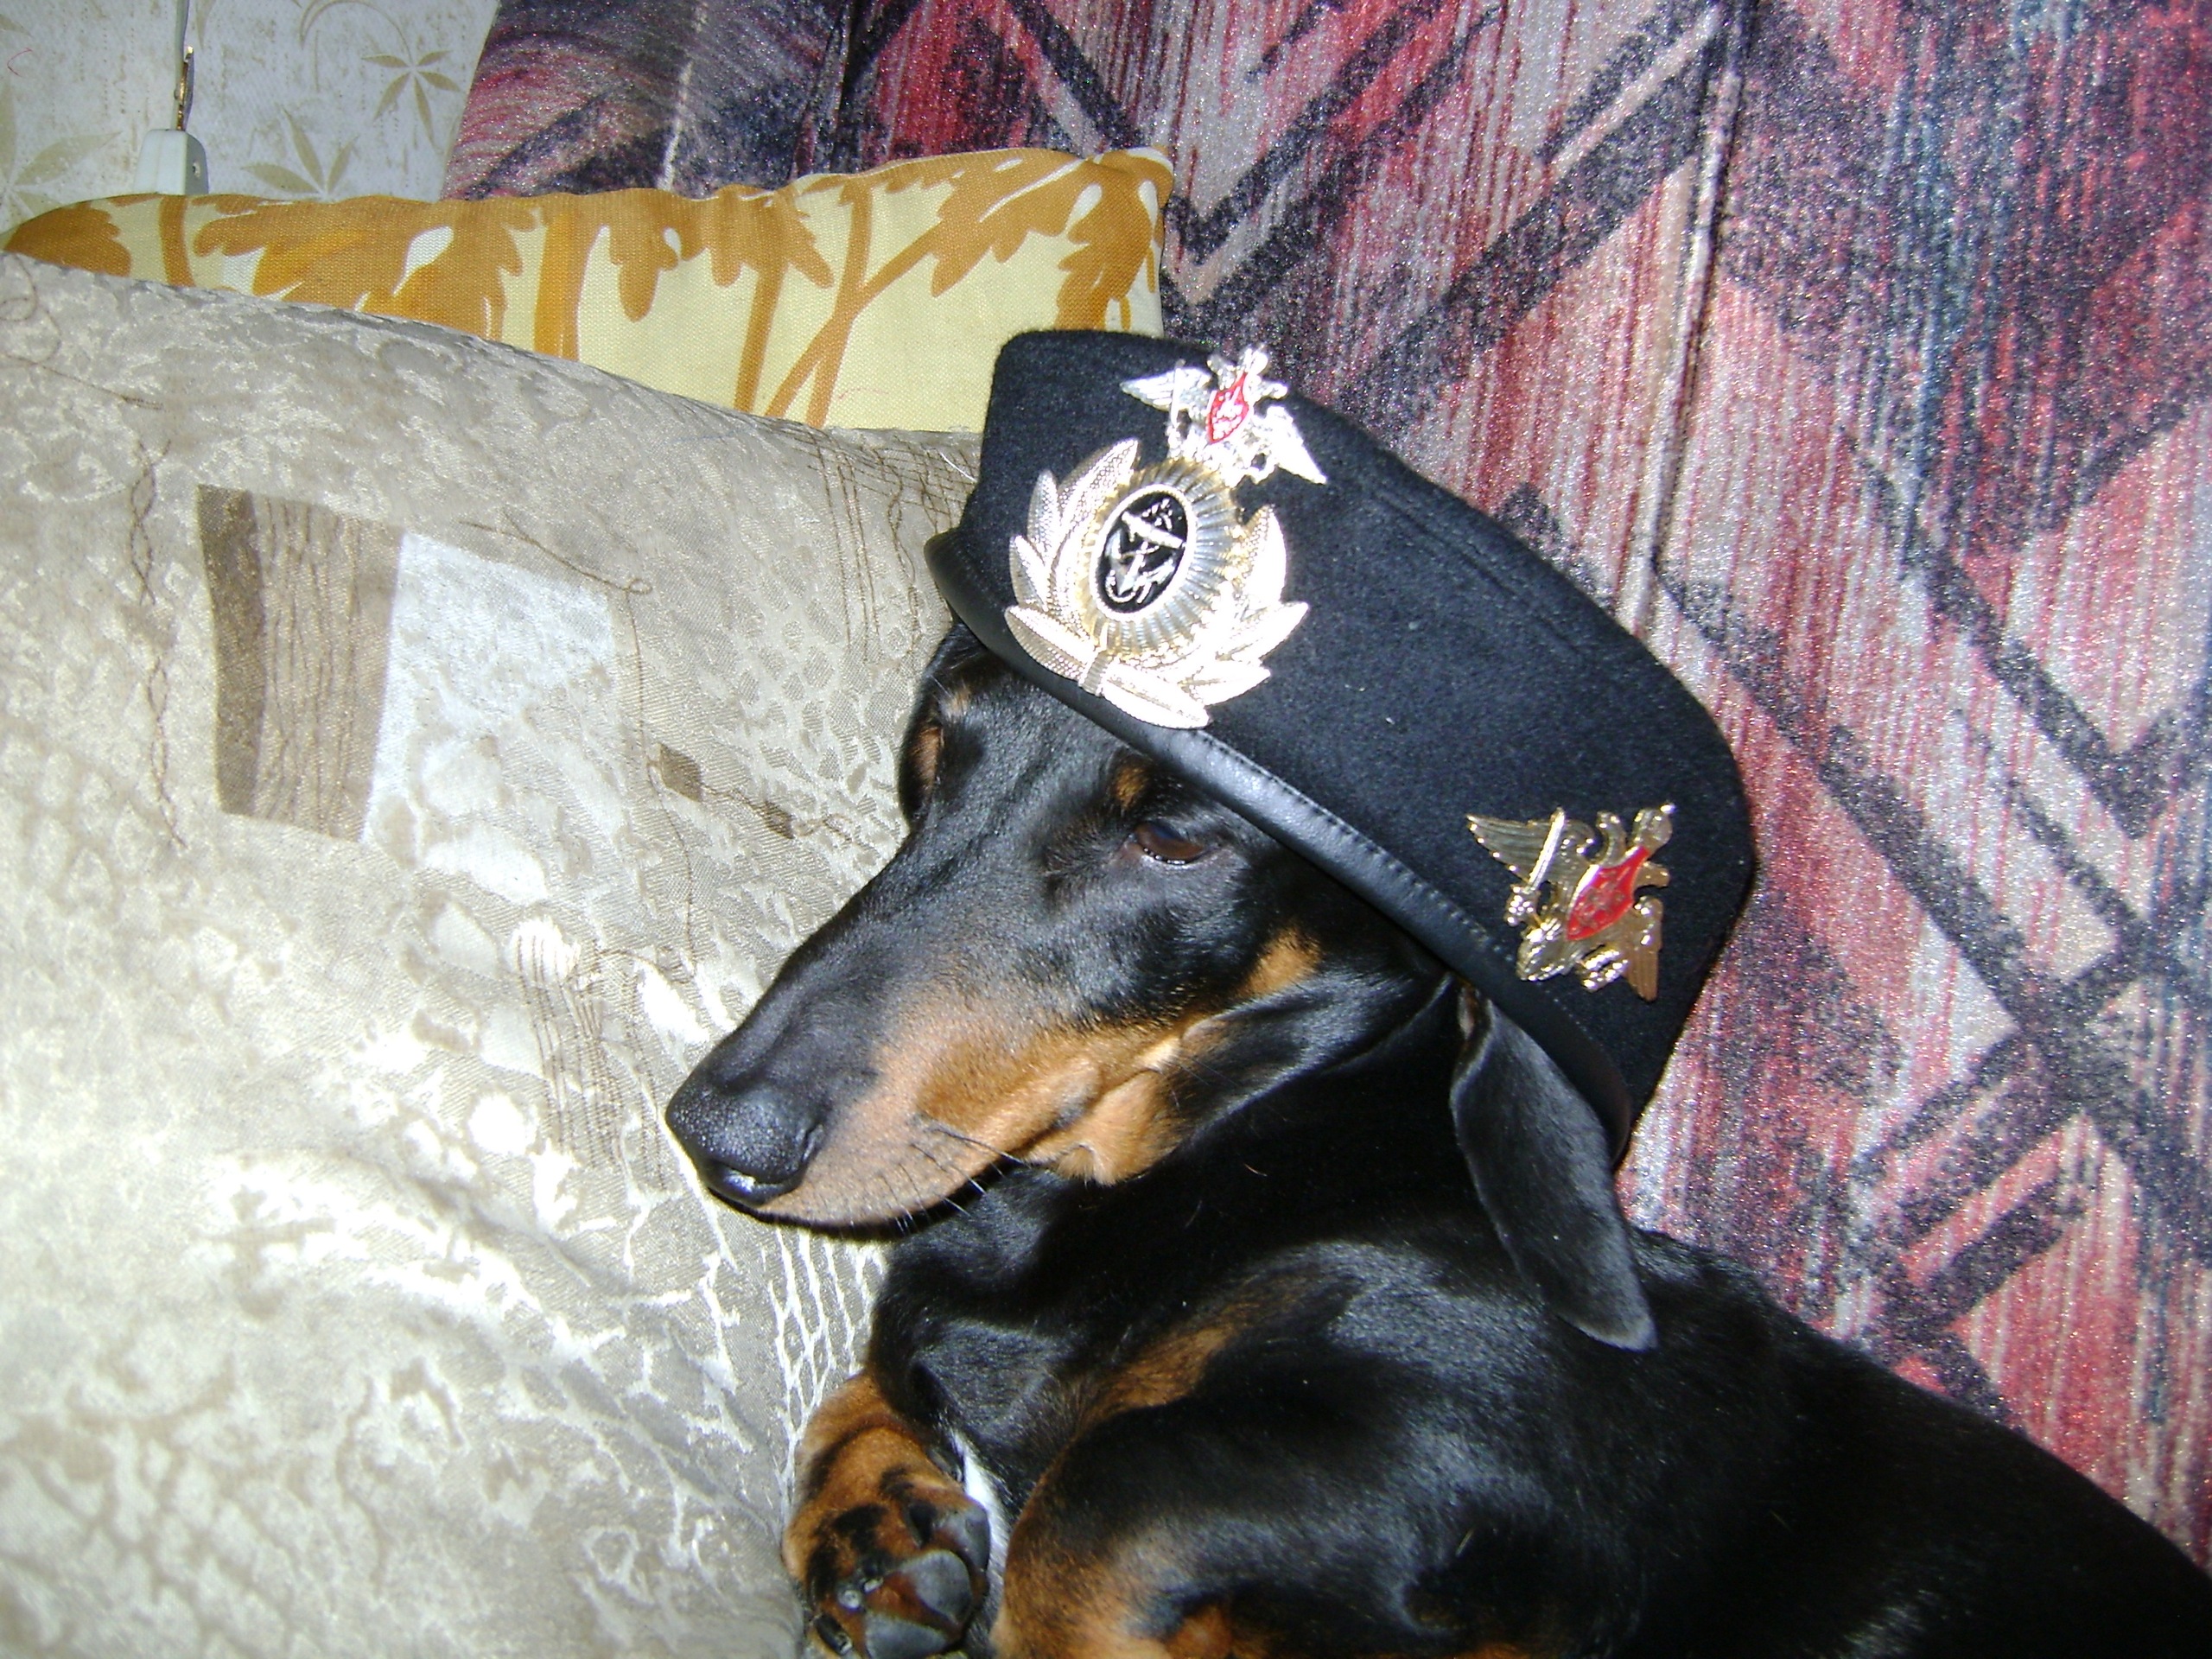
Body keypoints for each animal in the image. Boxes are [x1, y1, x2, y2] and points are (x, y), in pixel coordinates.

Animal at [668, 624, 2212, 1659]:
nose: (717, 1129)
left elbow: (1092, 1507)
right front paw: (880, 1533)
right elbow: (879, 1385)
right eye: (936, 752)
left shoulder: (1470, 1440)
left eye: (1177, 837)